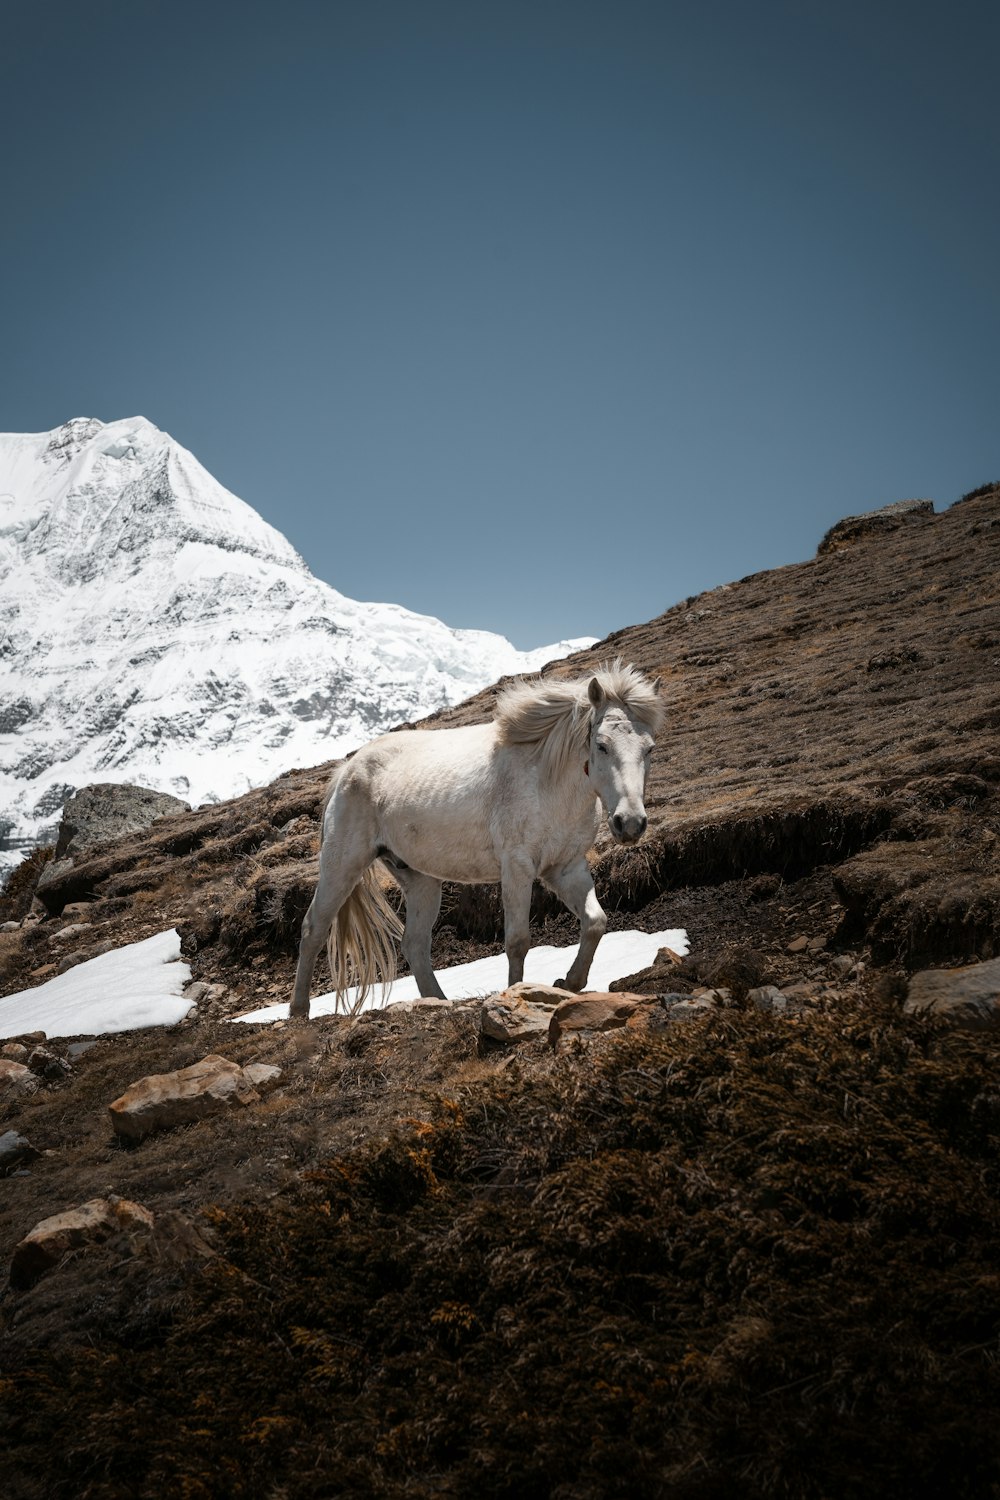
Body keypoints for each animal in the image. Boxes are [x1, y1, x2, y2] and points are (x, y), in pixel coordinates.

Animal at [289, 660, 665, 1020]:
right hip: (343, 865)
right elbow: (518, 941)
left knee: (414, 945)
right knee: (313, 929)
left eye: (649, 749)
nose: (630, 823)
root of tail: (346, 770)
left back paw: (438, 1001)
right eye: (602, 746)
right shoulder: (517, 867)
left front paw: (570, 982)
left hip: (420, 879)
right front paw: (518, 993)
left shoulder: (566, 868)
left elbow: (595, 923)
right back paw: (298, 1011)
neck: (546, 780)